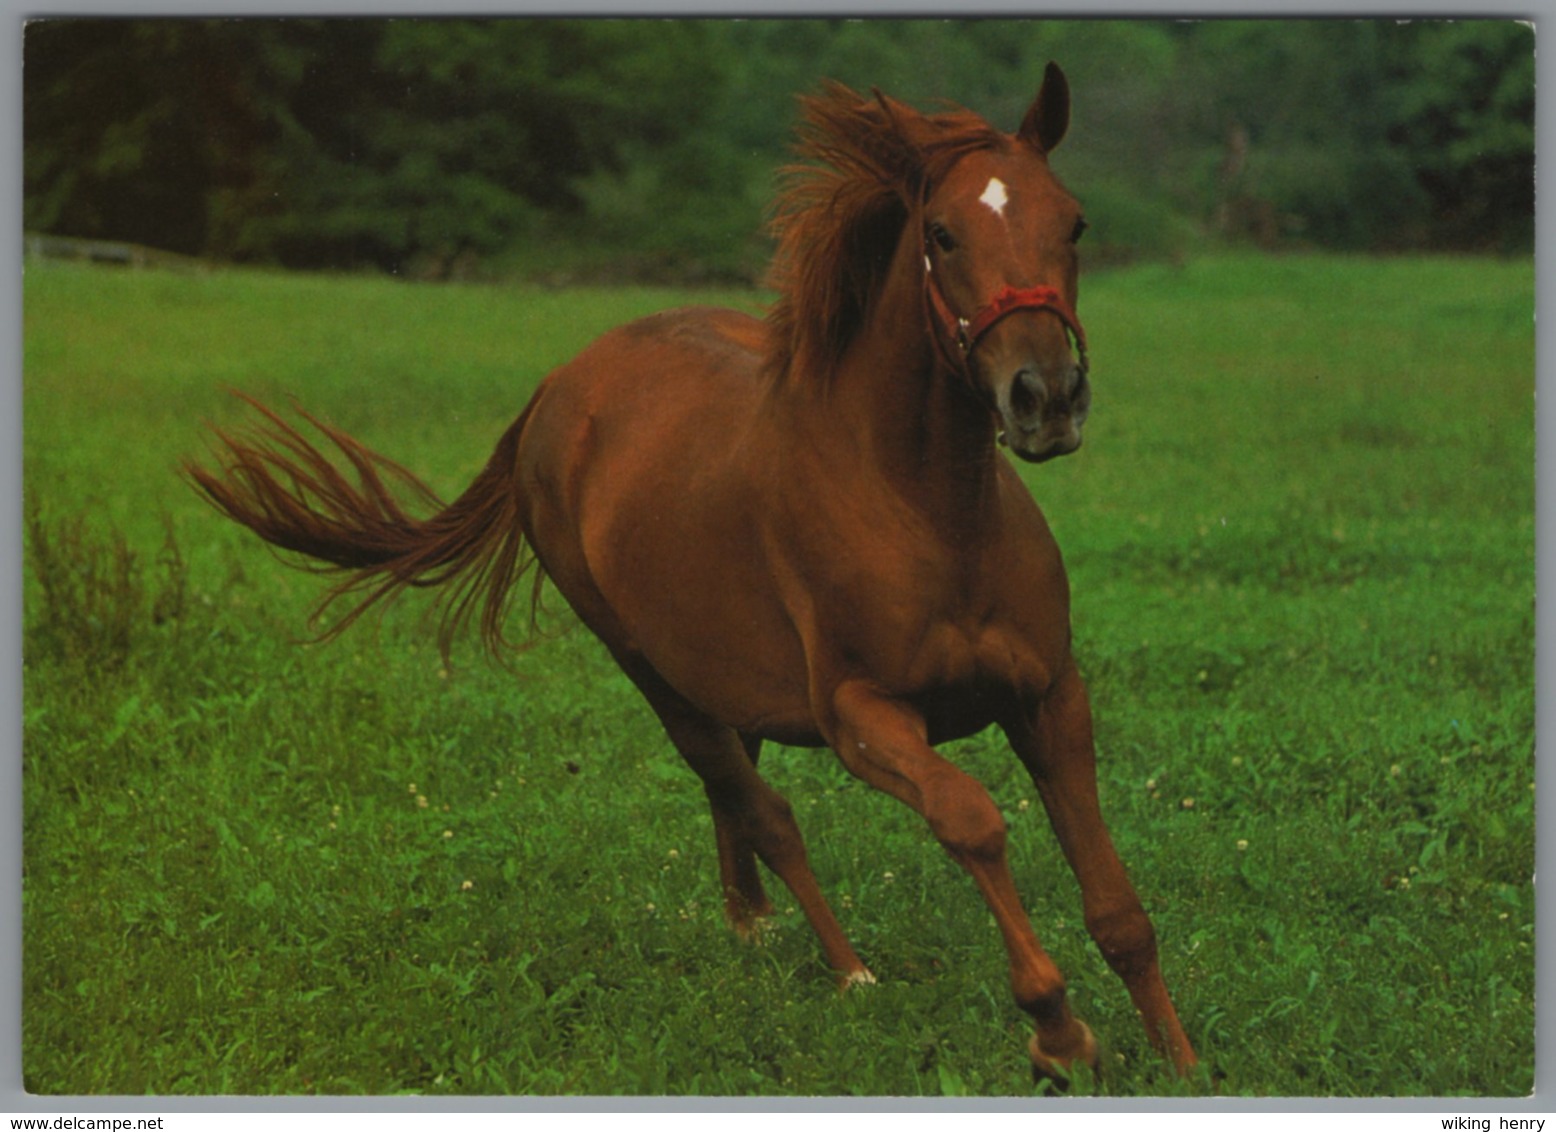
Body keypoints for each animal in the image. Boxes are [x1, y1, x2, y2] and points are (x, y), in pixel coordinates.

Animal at [188, 64, 1195, 1088]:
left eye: (1073, 222)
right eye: (944, 234)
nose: (1046, 398)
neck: (928, 511)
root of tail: (555, 389)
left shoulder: (1050, 696)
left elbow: (1118, 907)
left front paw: (1181, 1059)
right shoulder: (863, 717)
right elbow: (970, 818)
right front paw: (1058, 1031)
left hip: (716, 666)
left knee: (736, 790)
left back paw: (757, 926)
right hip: (649, 667)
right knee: (758, 803)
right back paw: (843, 968)